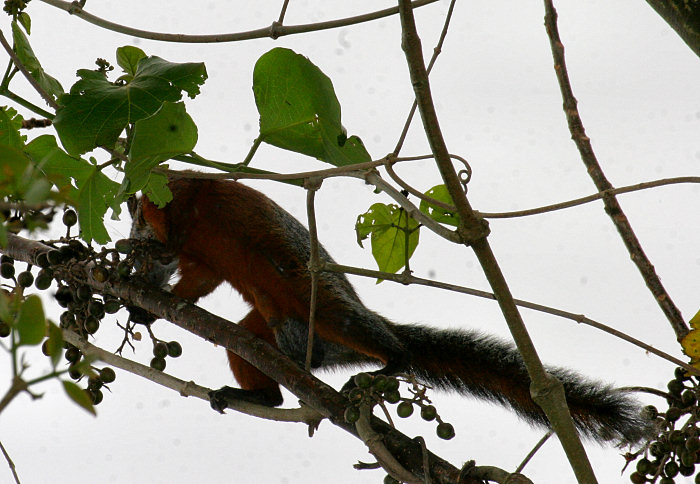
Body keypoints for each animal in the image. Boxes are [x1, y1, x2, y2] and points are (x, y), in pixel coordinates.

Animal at [127, 176, 652, 444]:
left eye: (137, 220)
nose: (135, 241)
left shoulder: (185, 204)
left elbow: (178, 237)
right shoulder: (197, 257)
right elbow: (199, 279)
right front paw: (148, 309)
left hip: (321, 304)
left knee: (364, 329)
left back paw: (393, 358)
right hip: (278, 328)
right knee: (247, 341)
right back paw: (259, 394)